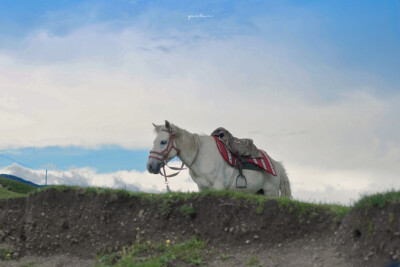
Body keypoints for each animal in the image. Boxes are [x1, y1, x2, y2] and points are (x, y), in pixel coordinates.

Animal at [147, 122, 290, 198]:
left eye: (163, 142)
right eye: (154, 141)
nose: (150, 166)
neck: (201, 156)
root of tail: (276, 165)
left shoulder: (218, 187)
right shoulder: (202, 188)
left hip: (271, 193)